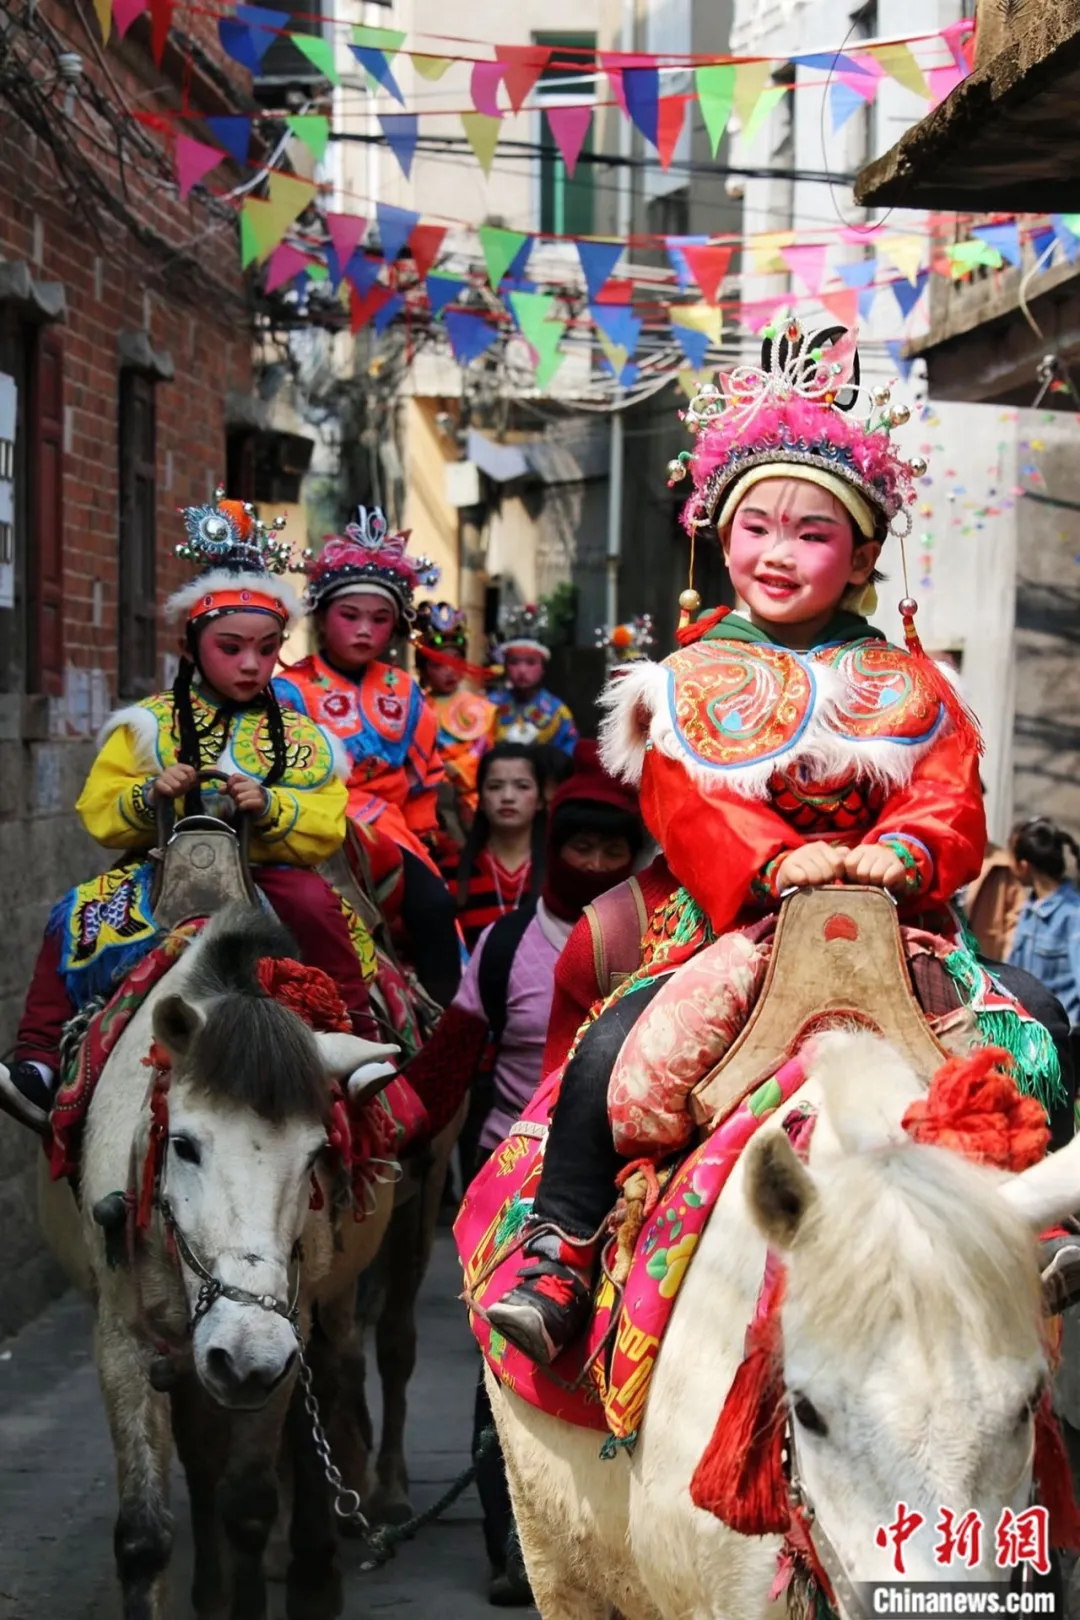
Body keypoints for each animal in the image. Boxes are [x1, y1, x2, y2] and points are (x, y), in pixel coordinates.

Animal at [38, 913, 403, 1620]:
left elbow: (250, 1504)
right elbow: (146, 1534)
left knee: (327, 1391)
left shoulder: (283, 1334)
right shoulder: (124, 1340)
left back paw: (314, 1571)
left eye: (317, 1153)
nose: (244, 1353)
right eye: (183, 1144)